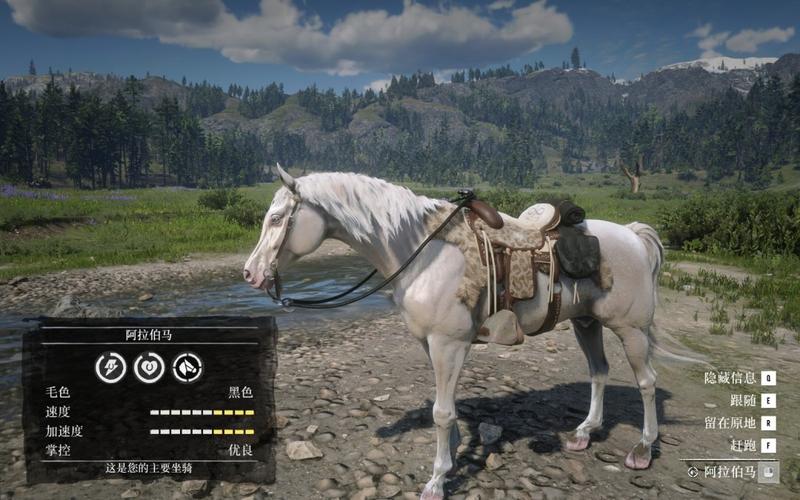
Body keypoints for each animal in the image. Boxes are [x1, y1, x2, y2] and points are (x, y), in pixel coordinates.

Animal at [244, 166, 670, 500]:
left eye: (278, 218)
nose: (250, 273)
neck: (425, 253)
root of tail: (633, 235)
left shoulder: (449, 344)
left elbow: (442, 412)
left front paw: (436, 480)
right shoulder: (429, 344)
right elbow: (444, 408)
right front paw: (449, 455)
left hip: (631, 329)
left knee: (647, 382)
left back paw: (643, 449)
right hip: (587, 323)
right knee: (599, 372)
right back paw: (584, 433)